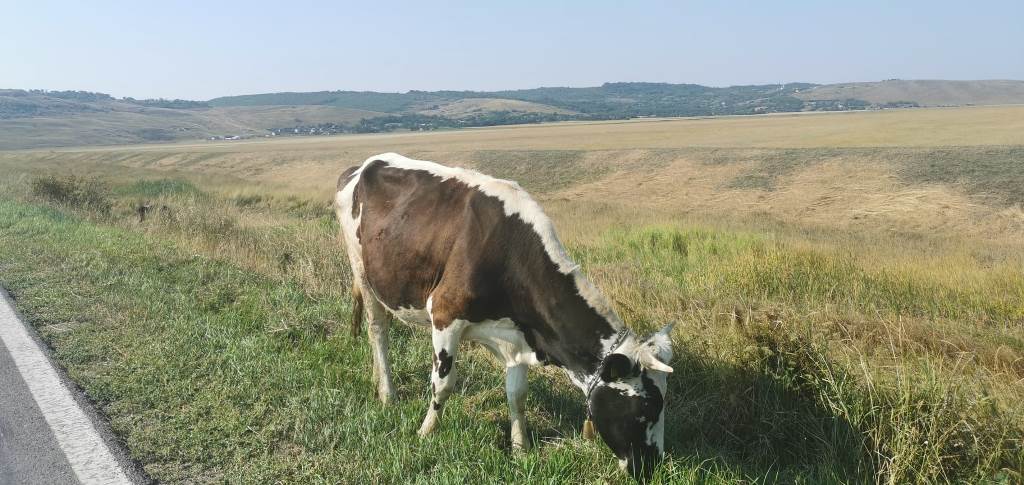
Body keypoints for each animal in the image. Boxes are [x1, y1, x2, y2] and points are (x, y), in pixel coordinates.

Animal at [331, 153, 675, 478]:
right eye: (645, 408)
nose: (652, 467)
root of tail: (361, 166)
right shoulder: (444, 314)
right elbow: (442, 384)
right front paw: (425, 432)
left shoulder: (518, 336)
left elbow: (517, 395)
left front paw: (521, 450)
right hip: (361, 268)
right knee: (378, 329)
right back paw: (388, 393)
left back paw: (377, 380)